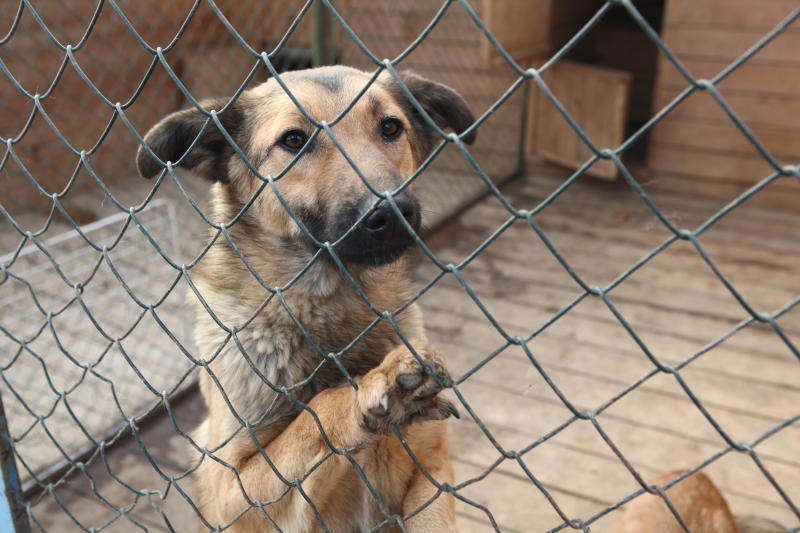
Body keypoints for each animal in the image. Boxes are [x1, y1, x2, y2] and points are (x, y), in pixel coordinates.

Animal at [137, 66, 476, 532]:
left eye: (390, 127)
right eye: (294, 140)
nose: (392, 213)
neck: (327, 308)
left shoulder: (433, 473)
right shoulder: (235, 489)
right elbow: (317, 410)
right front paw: (372, 387)